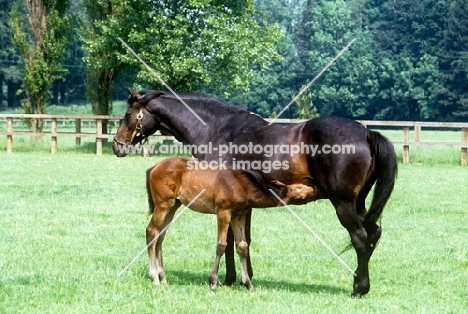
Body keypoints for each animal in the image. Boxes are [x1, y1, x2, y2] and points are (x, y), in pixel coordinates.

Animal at [144, 157, 316, 292]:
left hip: (174, 206)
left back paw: (163, 277)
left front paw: (248, 284)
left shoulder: (239, 215)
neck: (242, 185)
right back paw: (154, 277)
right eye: (298, 187)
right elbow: (221, 245)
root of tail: (154, 167)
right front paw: (213, 282)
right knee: (151, 231)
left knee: (160, 236)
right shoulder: (223, 212)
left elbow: (242, 246)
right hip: (163, 204)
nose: (313, 188)